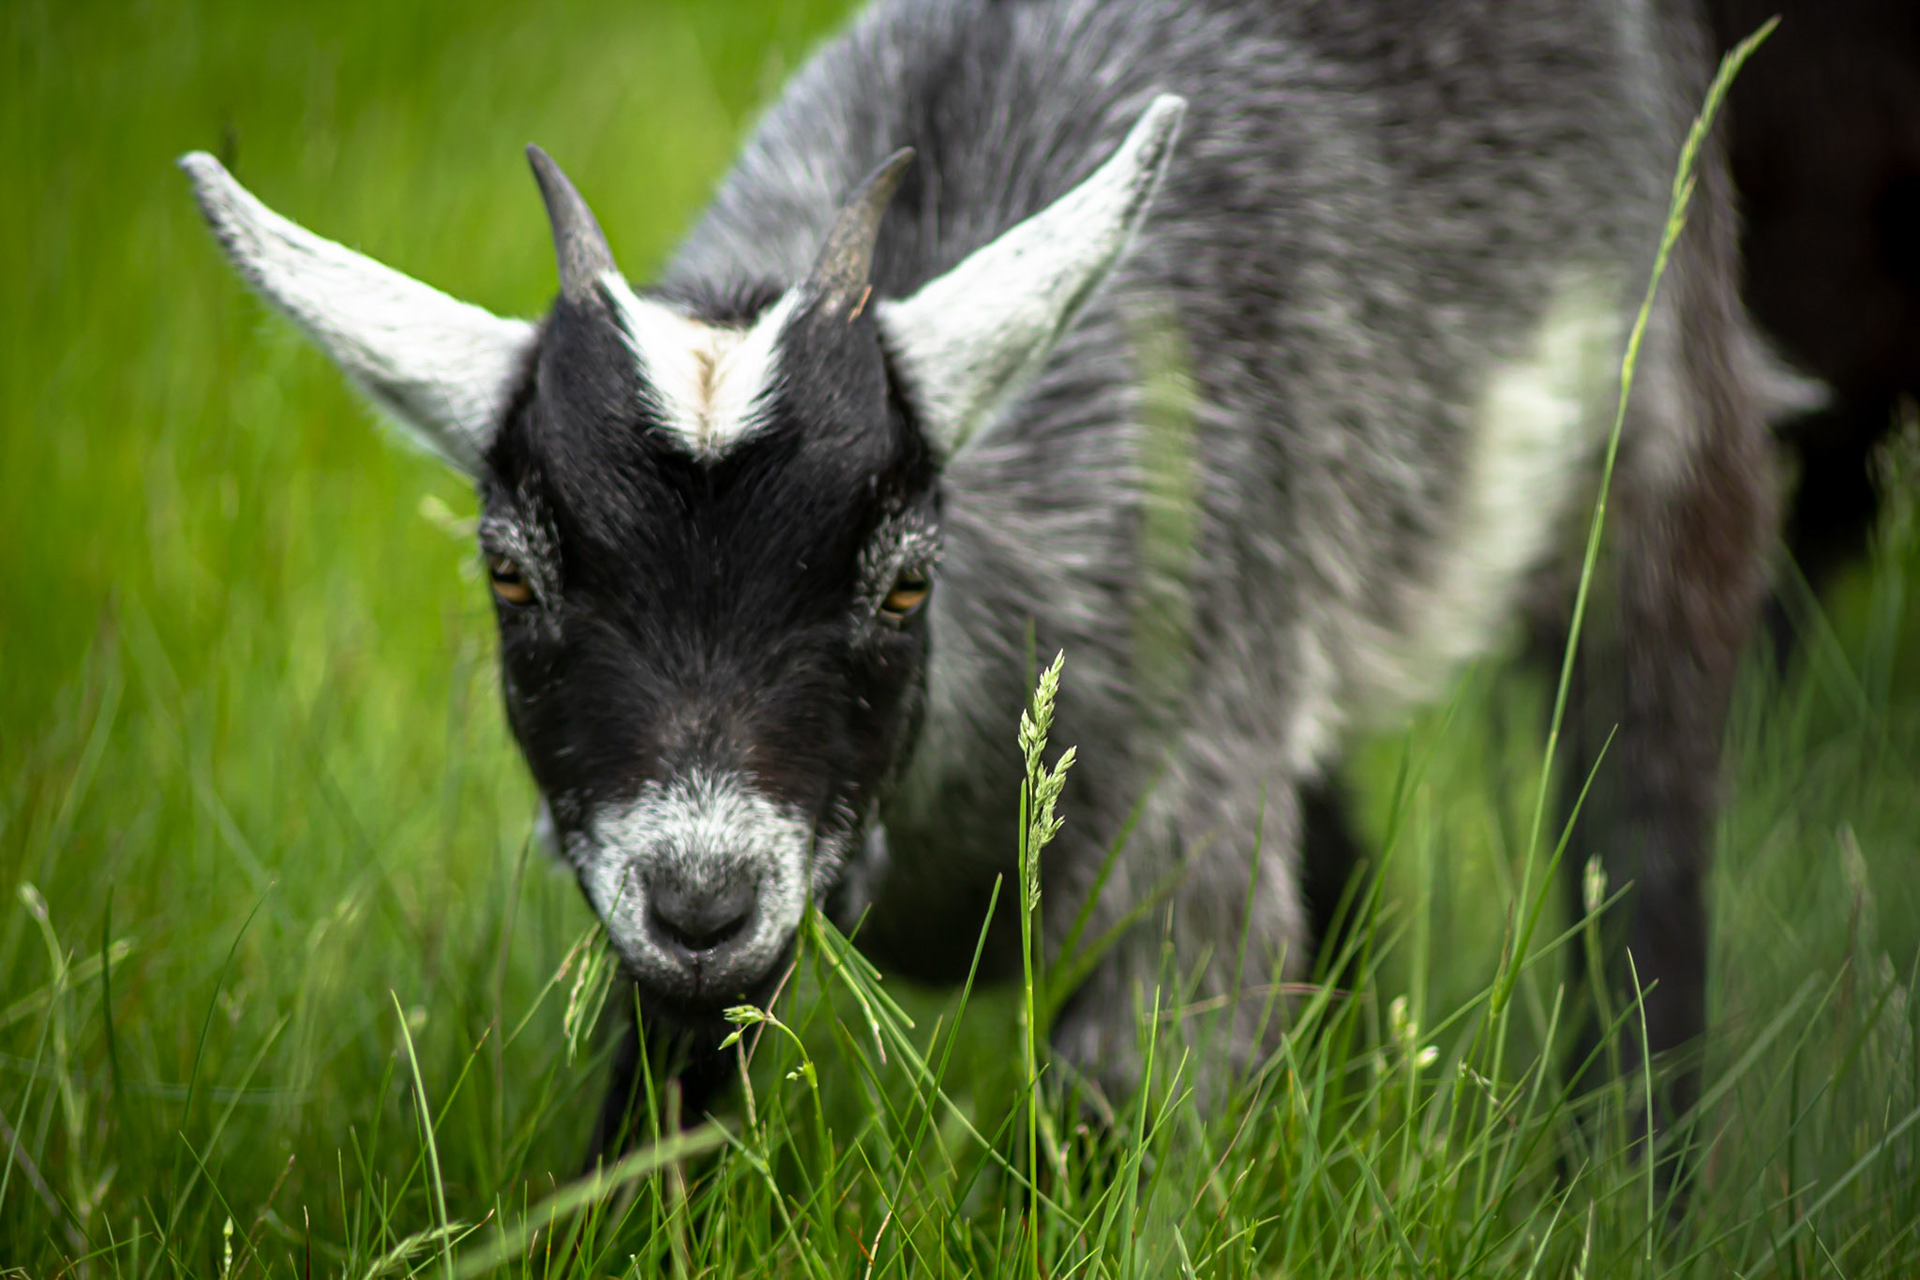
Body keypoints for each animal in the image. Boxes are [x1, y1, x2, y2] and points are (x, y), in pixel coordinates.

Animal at [187, 0, 1774, 1174]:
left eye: (905, 584)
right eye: (513, 577)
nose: (702, 899)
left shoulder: (1179, 874)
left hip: (1671, 446)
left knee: (1645, 846)